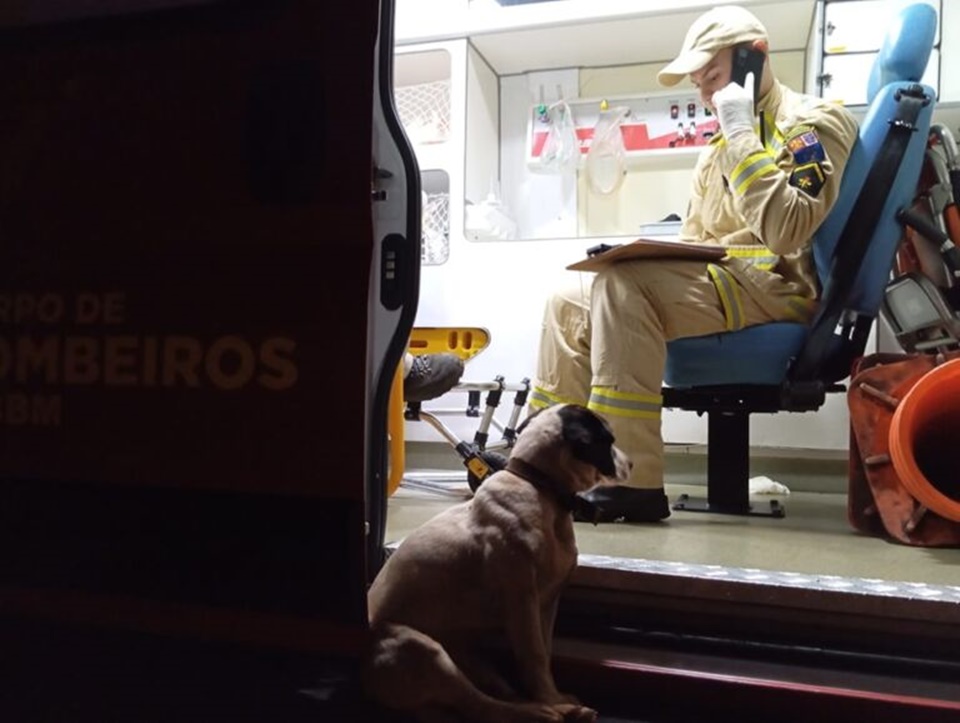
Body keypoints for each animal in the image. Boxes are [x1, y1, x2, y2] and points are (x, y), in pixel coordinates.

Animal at [363, 404, 632, 723]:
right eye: (608, 440)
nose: (632, 464)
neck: (538, 487)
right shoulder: (522, 603)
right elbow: (534, 656)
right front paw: (550, 698)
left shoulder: (546, 604)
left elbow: (544, 653)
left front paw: (552, 695)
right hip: (424, 649)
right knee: (482, 704)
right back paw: (548, 711)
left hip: (469, 658)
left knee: (490, 696)